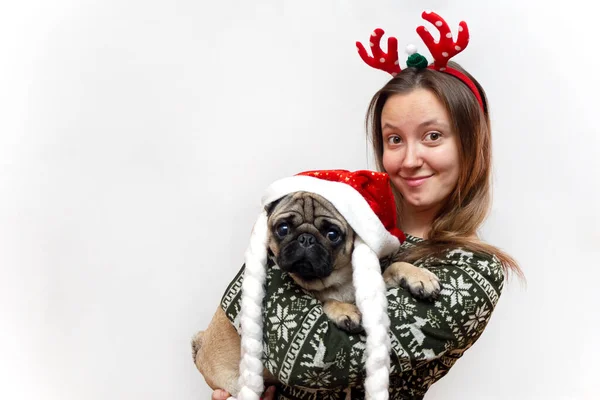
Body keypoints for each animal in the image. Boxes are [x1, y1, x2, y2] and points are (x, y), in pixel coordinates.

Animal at [192, 192, 440, 396]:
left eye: (332, 234)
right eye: (283, 229)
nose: (306, 238)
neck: (337, 280)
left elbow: (395, 266)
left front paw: (419, 276)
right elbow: (328, 300)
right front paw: (345, 310)